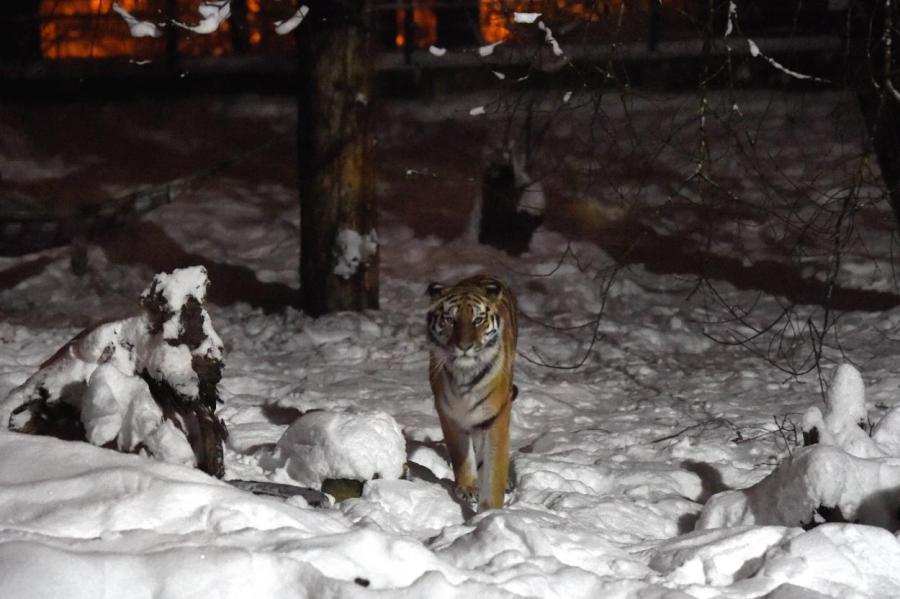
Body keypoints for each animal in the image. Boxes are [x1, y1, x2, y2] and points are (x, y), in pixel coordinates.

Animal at [426, 274, 516, 510]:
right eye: (450, 319)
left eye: (478, 320)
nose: (464, 346)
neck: (465, 375)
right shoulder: (449, 413)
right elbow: (462, 454)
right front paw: (467, 488)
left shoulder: (495, 417)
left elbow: (494, 470)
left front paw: (490, 511)